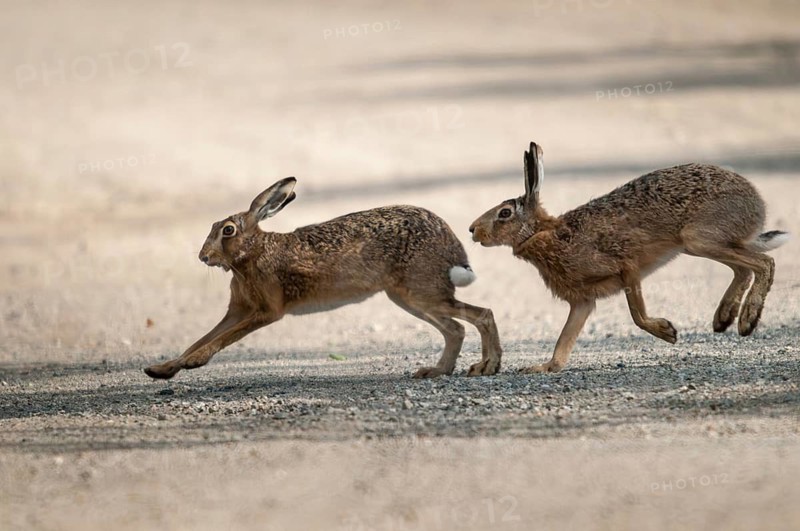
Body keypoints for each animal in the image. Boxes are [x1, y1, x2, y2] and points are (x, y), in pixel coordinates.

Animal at [144, 177, 502, 380]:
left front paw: (194, 362)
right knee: (454, 328)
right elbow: (203, 336)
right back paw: (437, 371)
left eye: (228, 231)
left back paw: (486, 367)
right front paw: (162, 370)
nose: (203, 257)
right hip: (406, 297)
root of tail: (451, 244)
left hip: (421, 292)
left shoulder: (266, 311)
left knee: (481, 315)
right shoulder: (237, 310)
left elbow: (223, 338)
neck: (254, 252)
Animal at [469, 142, 789, 373]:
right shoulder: (582, 301)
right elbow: (565, 338)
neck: (545, 234)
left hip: (698, 238)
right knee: (744, 268)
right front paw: (545, 367)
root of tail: (756, 204)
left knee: (764, 263)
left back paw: (747, 320)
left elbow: (637, 315)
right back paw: (724, 318)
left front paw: (668, 332)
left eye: (504, 213)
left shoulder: (626, 267)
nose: (473, 230)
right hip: (699, 244)